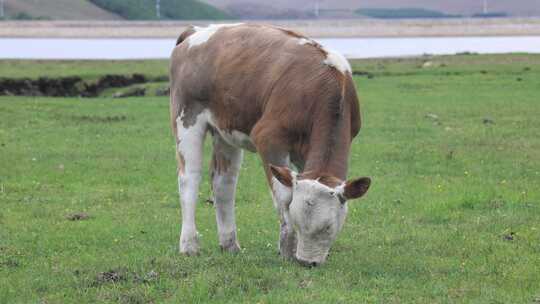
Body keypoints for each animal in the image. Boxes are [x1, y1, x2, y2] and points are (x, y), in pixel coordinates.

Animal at [170, 23, 372, 266]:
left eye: (329, 227)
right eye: (297, 221)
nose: (307, 262)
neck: (324, 87)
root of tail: (196, 30)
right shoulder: (269, 138)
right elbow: (284, 198)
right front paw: (287, 250)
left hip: (225, 129)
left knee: (224, 183)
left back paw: (230, 245)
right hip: (186, 116)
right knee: (189, 179)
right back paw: (189, 245)